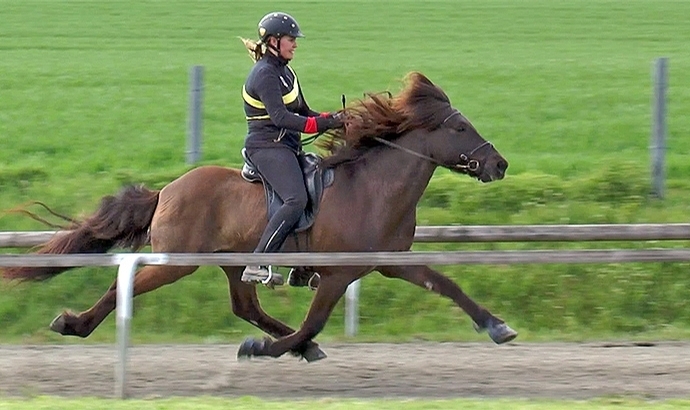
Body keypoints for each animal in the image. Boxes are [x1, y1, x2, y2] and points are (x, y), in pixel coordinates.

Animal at [2, 72, 512, 360]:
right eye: (460, 127)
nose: (499, 164)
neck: (374, 188)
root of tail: (168, 190)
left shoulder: (389, 262)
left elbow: (447, 285)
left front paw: (496, 326)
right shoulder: (337, 272)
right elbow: (314, 319)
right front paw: (264, 350)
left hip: (233, 261)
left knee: (245, 306)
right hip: (177, 261)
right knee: (122, 285)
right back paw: (74, 323)